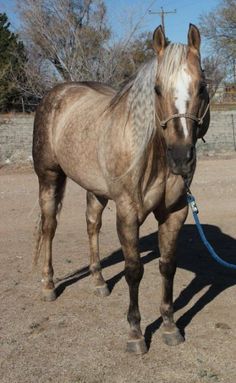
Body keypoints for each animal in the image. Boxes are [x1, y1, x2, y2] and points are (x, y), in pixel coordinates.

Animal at [31, 23, 210, 354]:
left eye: (202, 86)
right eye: (156, 89)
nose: (181, 157)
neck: (151, 156)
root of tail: (57, 92)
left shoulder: (175, 213)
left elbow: (167, 266)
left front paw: (170, 326)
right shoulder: (127, 214)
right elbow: (134, 270)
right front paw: (136, 333)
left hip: (96, 191)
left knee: (92, 225)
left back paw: (99, 281)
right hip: (49, 177)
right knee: (49, 228)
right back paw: (48, 285)